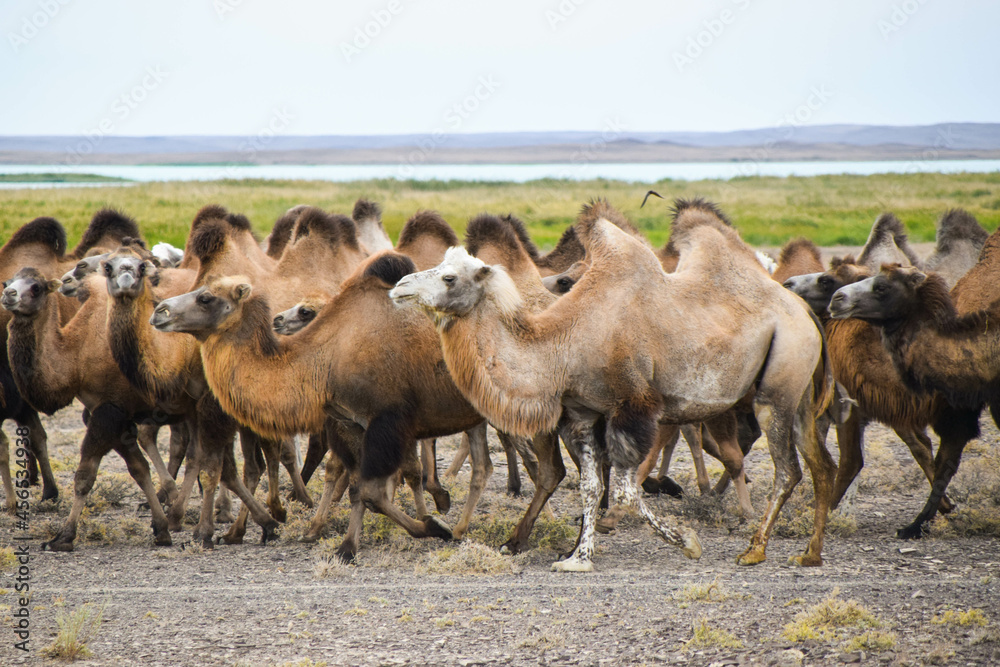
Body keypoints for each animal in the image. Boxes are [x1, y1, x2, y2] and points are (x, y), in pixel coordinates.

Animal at [150, 251, 499, 561]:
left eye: (206, 298)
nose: (159, 312)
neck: (327, 357)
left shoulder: (386, 421)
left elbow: (372, 489)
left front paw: (431, 526)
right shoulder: (351, 421)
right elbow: (361, 489)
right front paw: (351, 546)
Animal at [392, 198, 836, 570]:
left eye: (449, 278)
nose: (400, 286)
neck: (562, 345)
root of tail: (803, 311)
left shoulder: (632, 406)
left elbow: (623, 489)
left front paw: (687, 542)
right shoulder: (582, 412)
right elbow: (591, 486)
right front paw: (578, 558)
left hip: (776, 389)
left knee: (786, 470)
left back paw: (754, 549)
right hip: (798, 394)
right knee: (820, 464)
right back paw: (810, 552)